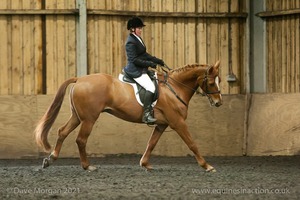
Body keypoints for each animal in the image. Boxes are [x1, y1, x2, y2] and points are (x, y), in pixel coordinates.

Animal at [34, 60, 223, 172]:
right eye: (211, 82)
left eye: (219, 80)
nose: (219, 102)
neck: (174, 88)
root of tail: (79, 79)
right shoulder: (178, 122)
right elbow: (192, 144)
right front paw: (207, 166)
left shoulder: (161, 124)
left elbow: (151, 143)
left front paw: (145, 164)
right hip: (89, 119)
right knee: (80, 139)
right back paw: (87, 166)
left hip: (77, 117)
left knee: (62, 132)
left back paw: (50, 159)